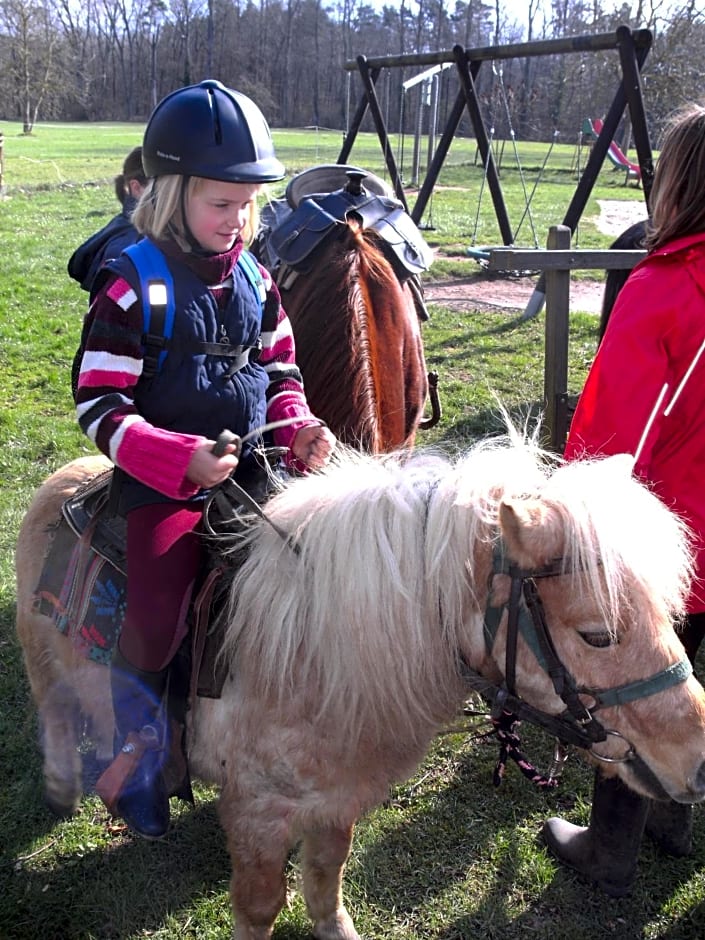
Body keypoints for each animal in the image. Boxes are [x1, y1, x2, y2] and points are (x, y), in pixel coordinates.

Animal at [16, 436, 705, 940]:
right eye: (597, 635)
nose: (698, 763)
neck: (313, 659)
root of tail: (66, 477)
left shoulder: (336, 798)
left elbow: (326, 878)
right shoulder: (259, 814)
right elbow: (260, 907)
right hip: (42, 662)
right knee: (55, 716)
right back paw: (69, 787)